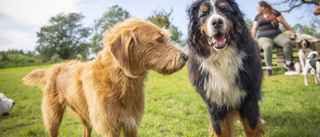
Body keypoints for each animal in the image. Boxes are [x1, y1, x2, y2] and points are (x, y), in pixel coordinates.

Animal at [23, 18, 188, 137]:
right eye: (159, 39)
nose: (186, 57)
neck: (120, 83)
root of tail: (53, 67)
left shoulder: (131, 126)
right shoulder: (110, 128)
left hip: (85, 116)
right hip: (53, 117)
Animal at [186, 0, 264, 136]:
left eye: (225, 10)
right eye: (204, 14)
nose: (217, 22)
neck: (222, 58)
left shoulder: (249, 98)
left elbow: (252, 127)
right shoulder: (215, 104)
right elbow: (220, 130)